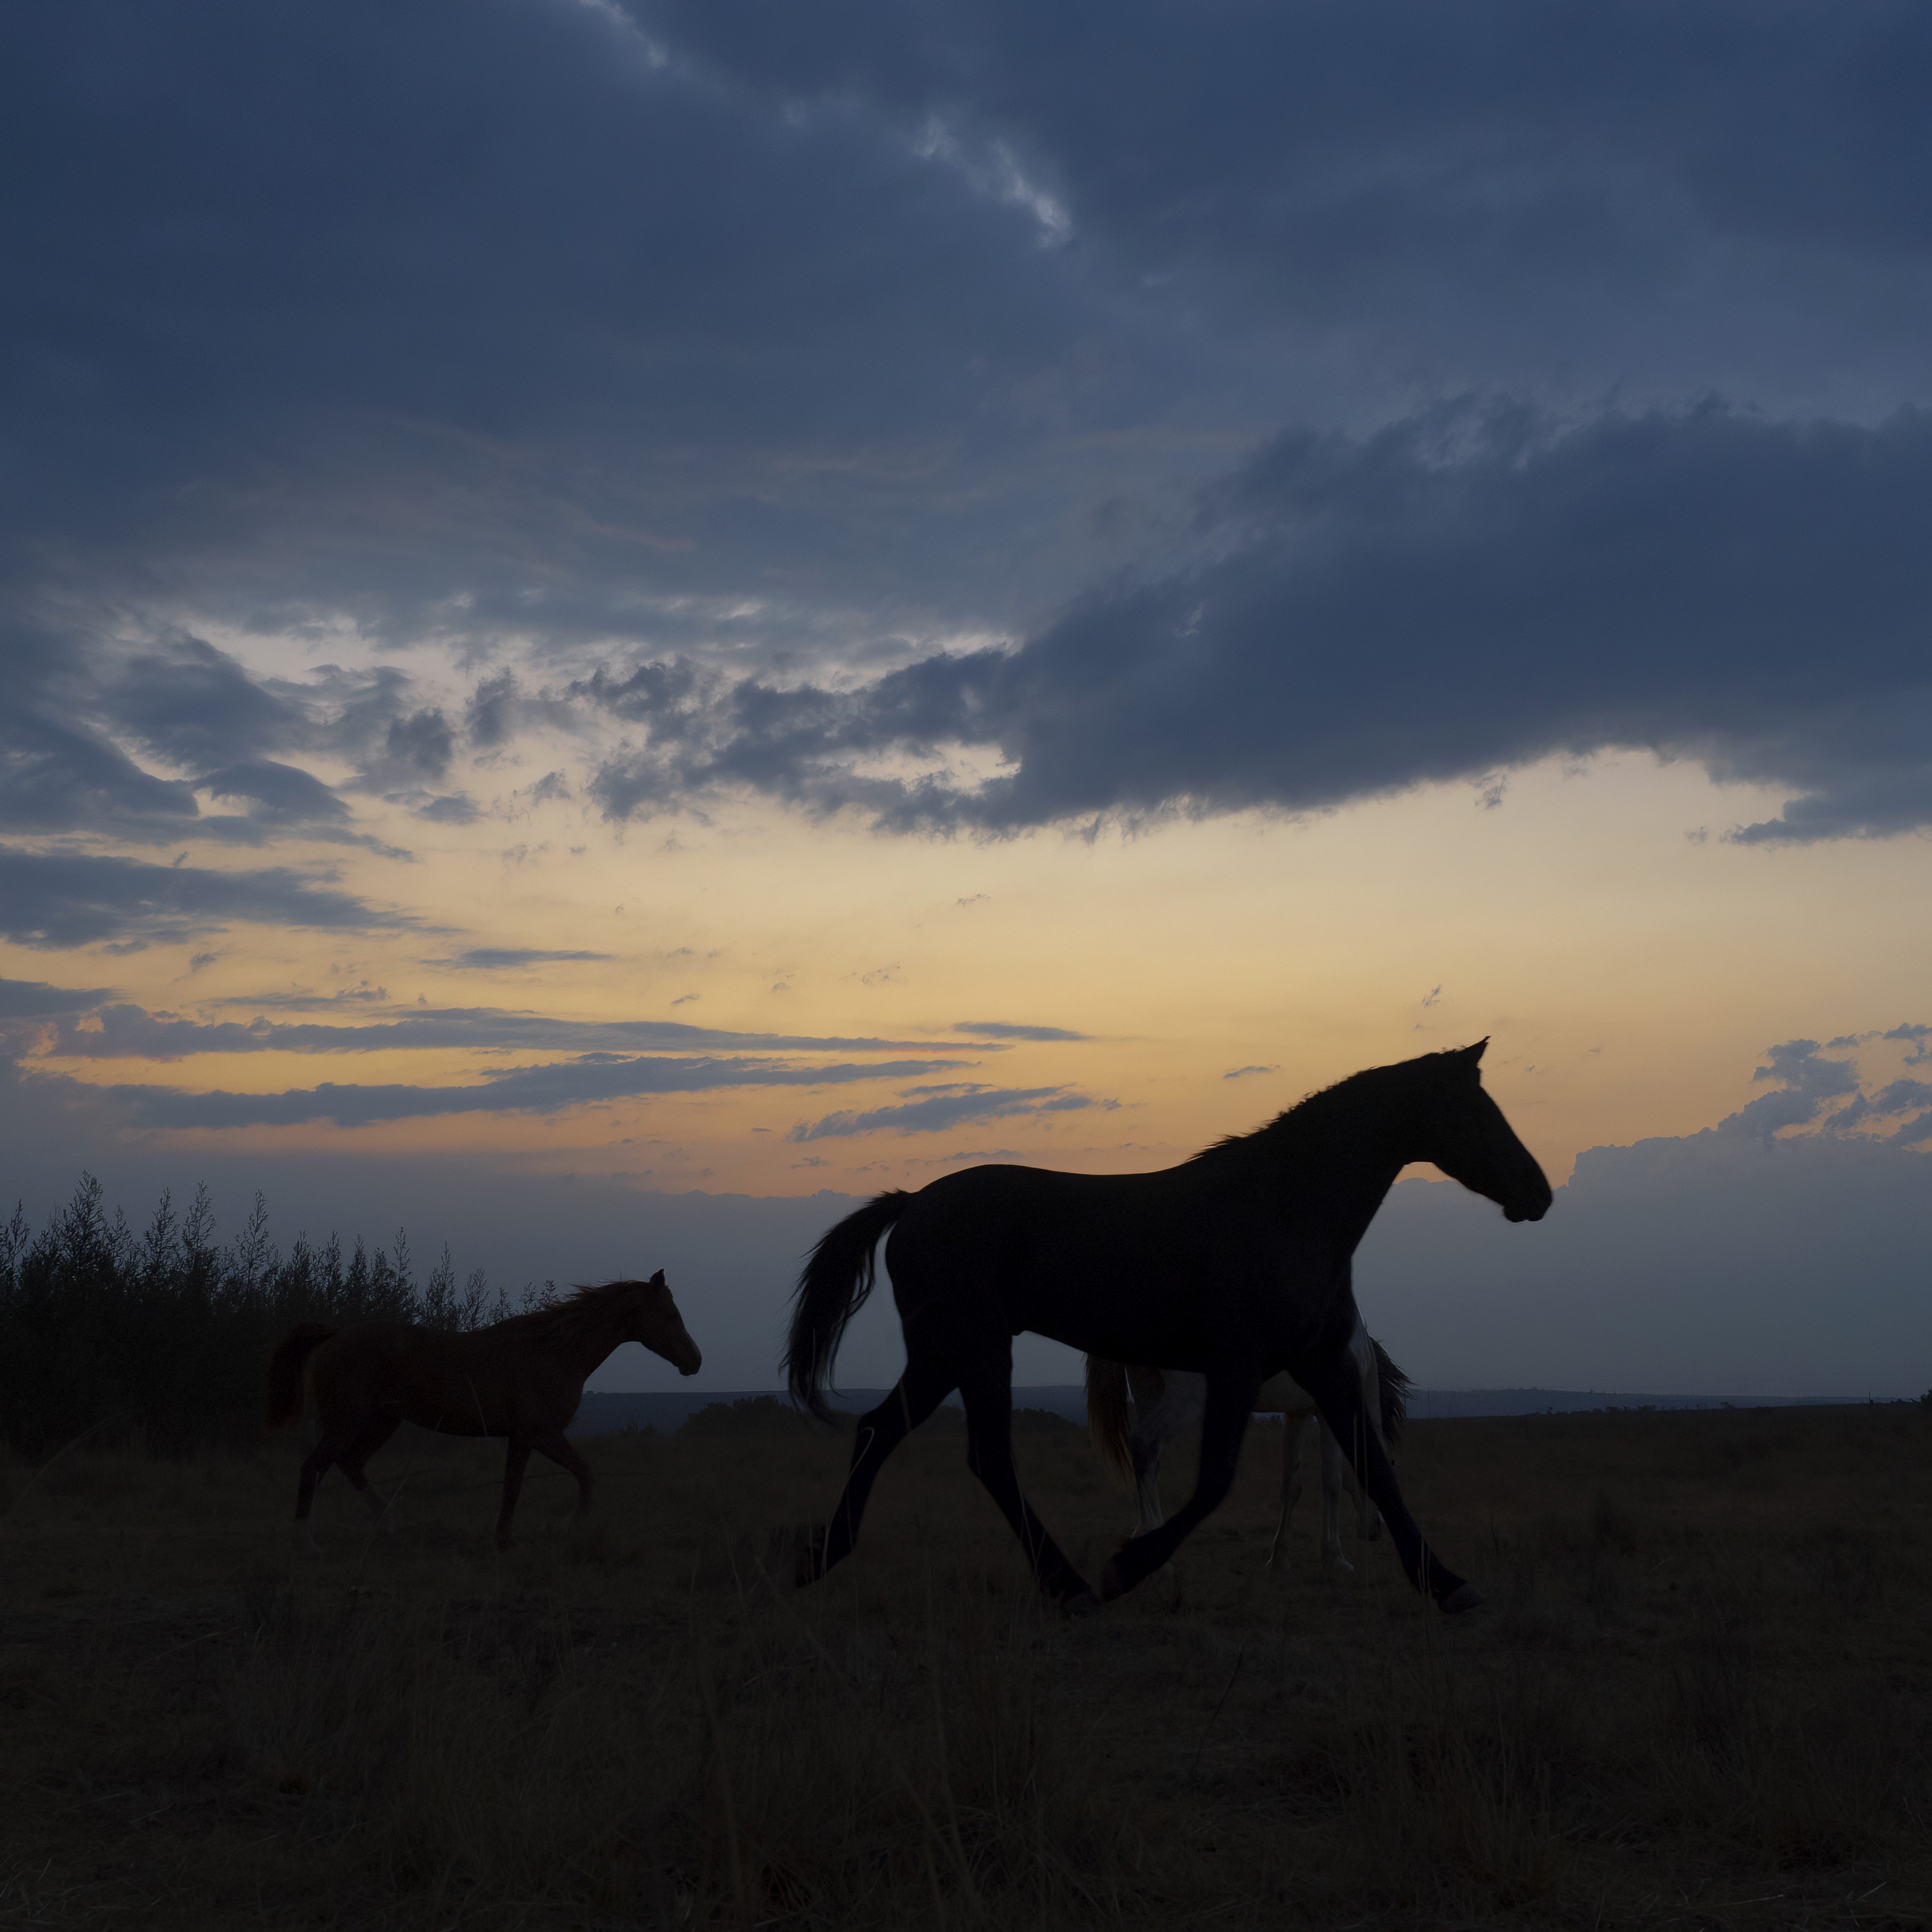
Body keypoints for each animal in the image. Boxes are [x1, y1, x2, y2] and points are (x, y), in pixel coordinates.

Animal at [265, 1272, 702, 1551]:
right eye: (669, 1314)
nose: (694, 1361)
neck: (555, 1352)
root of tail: (335, 1334)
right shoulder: (541, 1433)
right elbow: (583, 1474)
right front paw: (569, 1529)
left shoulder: (522, 1438)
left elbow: (513, 1487)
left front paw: (506, 1540)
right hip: (347, 1422)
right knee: (314, 1467)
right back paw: (306, 1542)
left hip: (382, 1421)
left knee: (351, 1464)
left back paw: (387, 1526)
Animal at [1085, 1318, 1410, 1575]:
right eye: (1390, 1466)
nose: (1376, 1529)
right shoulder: (1327, 1414)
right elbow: (1332, 1484)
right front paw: (1334, 1559)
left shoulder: (1297, 1413)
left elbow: (1292, 1486)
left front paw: (1279, 1559)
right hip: (1183, 1400)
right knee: (1145, 1444)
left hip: (1147, 1393)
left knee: (1150, 1463)